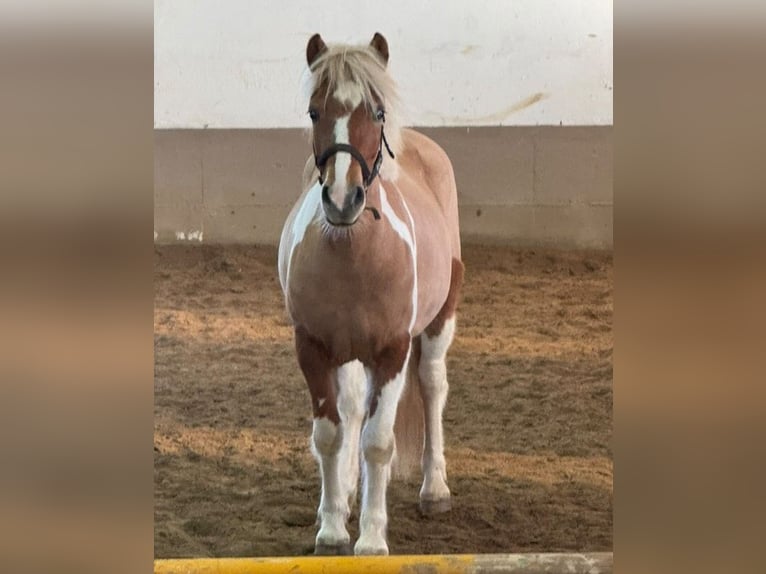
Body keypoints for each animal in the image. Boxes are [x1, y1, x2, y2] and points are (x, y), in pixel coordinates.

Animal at [277, 32, 464, 556]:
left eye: (377, 113)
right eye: (314, 112)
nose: (343, 200)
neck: (353, 253)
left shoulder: (391, 351)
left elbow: (378, 443)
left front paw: (373, 539)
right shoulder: (313, 348)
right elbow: (329, 434)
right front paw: (332, 528)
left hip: (439, 323)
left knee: (433, 385)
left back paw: (434, 489)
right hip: (349, 354)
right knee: (352, 411)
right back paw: (346, 495)